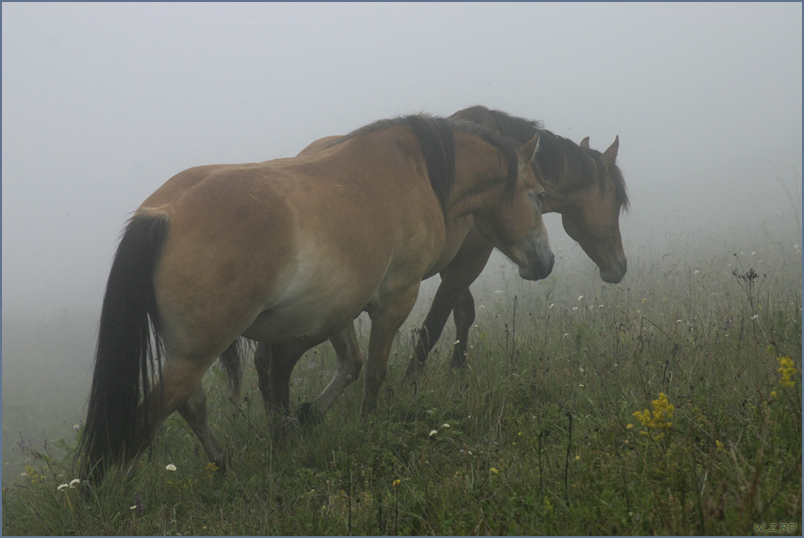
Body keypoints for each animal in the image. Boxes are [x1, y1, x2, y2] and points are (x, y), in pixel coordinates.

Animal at [78, 114, 556, 478]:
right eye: (537, 196)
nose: (546, 261)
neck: (414, 171)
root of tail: (163, 214)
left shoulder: (337, 307)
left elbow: (351, 363)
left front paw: (305, 418)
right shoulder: (396, 298)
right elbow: (374, 372)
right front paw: (366, 426)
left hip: (187, 354)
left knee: (191, 405)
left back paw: (225, 464)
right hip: (196, 353)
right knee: (148, 419)